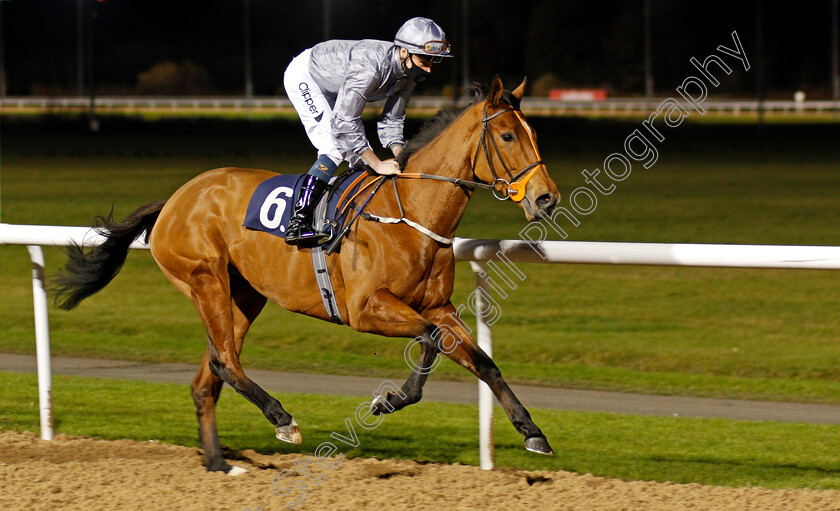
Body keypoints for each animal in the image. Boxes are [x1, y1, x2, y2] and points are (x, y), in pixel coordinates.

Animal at [55, 78, 560, 474]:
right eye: (508, 136)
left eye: (535, 132)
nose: (547, 198)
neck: (409, 214)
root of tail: (174, 200)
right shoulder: (366, 309)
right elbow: (432, 340)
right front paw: (388, 400)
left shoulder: (437, 305)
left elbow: (480, 360)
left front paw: (532, 432)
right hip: (205, 279)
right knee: (225, 362)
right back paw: (282, 419)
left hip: (243, 294)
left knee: (208, 376)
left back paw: (218, 462)